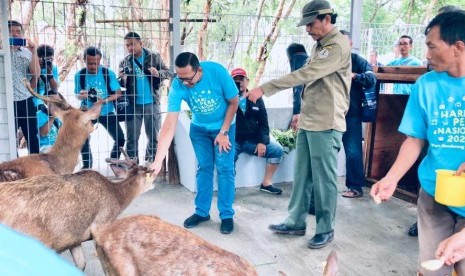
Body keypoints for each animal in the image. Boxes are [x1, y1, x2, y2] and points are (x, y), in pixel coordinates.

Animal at [0, 150, 154, 270]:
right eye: (148, 173)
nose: (154, 173)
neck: (116, 198)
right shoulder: (100, 226)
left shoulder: (74, 237)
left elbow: (81, 264)